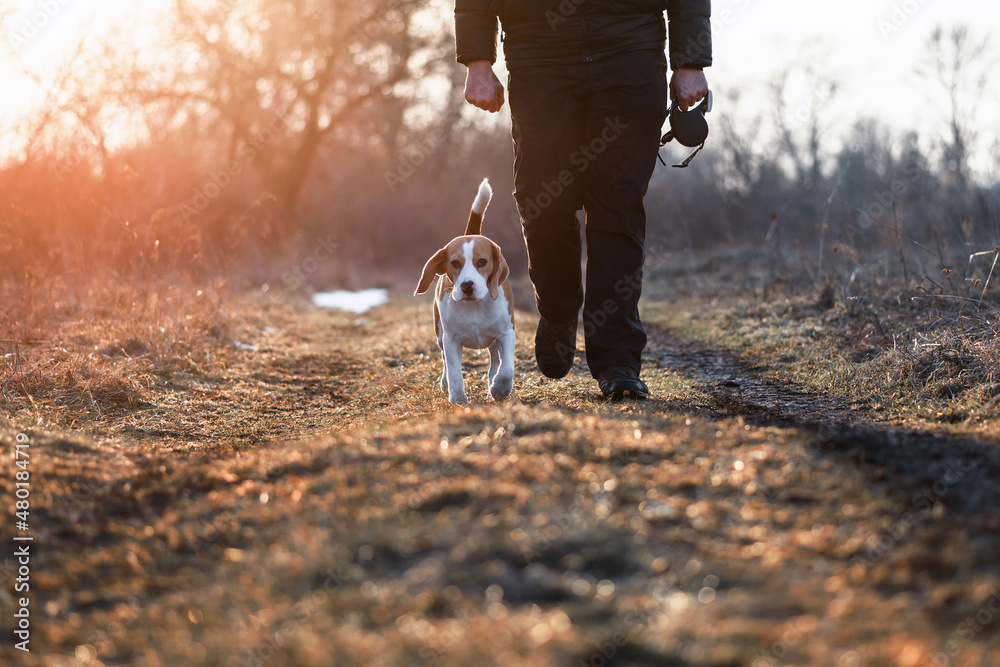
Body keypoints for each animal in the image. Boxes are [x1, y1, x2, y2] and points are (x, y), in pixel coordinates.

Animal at [416, 177, 516, 404]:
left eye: (482, 262)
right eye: (455, 263)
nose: (466, 286)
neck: (475, 306)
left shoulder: (507, 334)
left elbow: (506, 368)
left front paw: (500, 388)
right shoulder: (451, 340)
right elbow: (454, 371)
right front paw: (458, 398)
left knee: (495, 360)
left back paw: (493, 381)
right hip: (440, 335)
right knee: (445, 360)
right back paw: (446, 384)